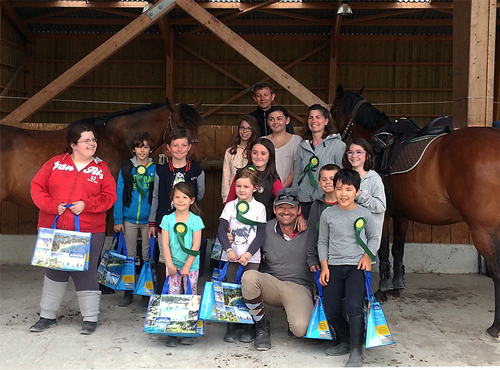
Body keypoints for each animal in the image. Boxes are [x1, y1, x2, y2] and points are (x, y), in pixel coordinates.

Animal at [332, 84, 500, 342]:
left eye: (333, 110)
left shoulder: (383, 214)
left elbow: (383, 249)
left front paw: (383, 289)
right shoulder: (401, 215)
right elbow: (398, 249)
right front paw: (397, 285)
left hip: (483, 229)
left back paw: (494, 328)